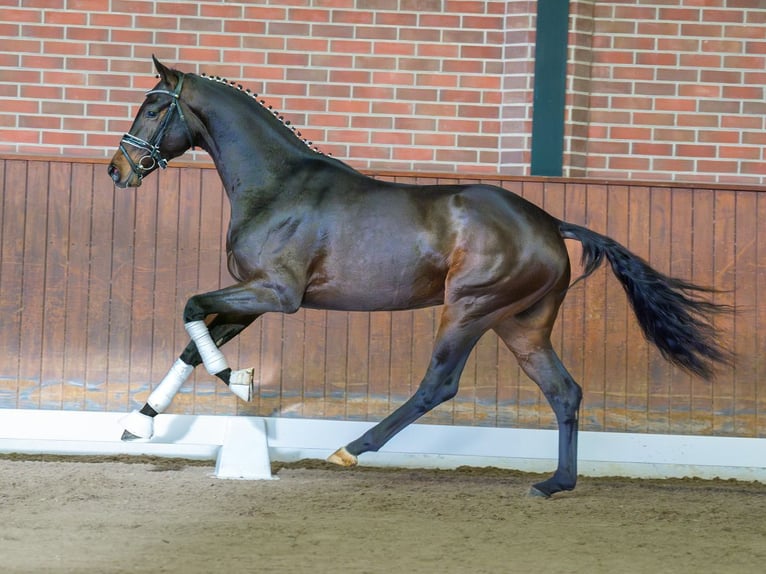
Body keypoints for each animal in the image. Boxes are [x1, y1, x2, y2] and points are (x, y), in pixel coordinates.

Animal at [108, 58, 732, 500]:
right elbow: (192, 342)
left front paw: (236, 379)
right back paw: (555, 484)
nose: (119, 170)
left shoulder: (276, 295)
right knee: (564, 391)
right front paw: (140, 424)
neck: (278, 186)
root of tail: (550, 223)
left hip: (470, 309)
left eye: (152, 107)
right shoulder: (256, 298)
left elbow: (191, 310)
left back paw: (351, 450)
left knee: (439, 385)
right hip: (520, 325)